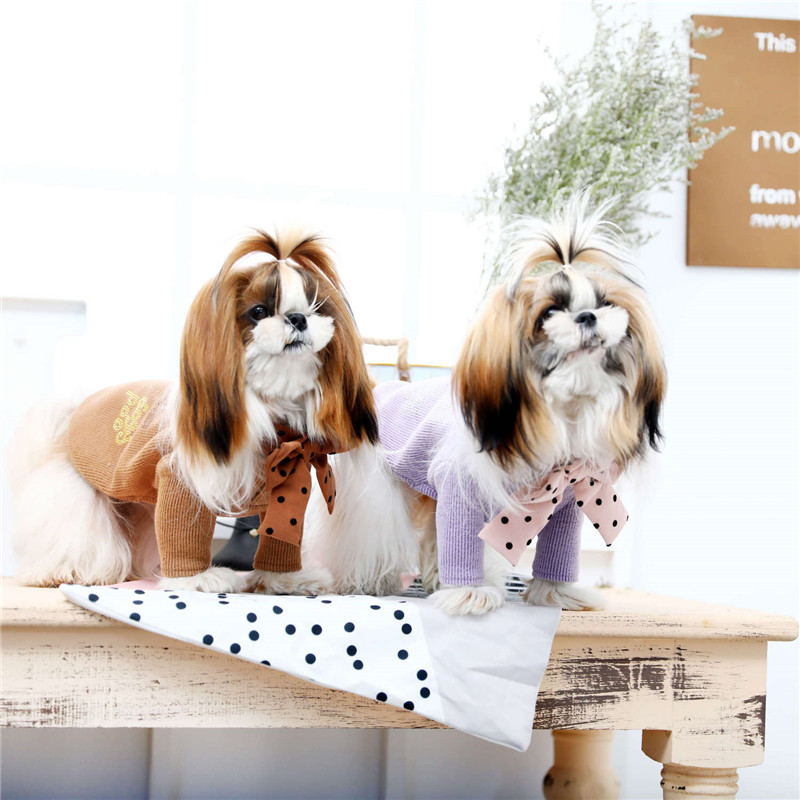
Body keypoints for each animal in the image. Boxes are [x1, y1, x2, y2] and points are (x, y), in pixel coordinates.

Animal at [8, 229, 378, 595]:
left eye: (317, 307)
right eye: (259, 311)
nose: (298, 319)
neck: (266, 412)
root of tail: (75, 408)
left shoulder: (292, 478)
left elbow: (281, 534)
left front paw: (286, 579)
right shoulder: (180, 480)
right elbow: (182, 531)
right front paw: (197, 579)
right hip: (78, 488)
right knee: (78, 529)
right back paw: (67, 571)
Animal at [309, 198, 666, 614]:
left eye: (606, 303)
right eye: (549, 312)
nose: (588, 316)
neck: (558, 412)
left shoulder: (569, 499)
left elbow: (557, 553)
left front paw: (556, 593)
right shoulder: (459, 488)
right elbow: (459, 543)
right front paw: (469, 592)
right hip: (376, 491)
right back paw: (367, 580)